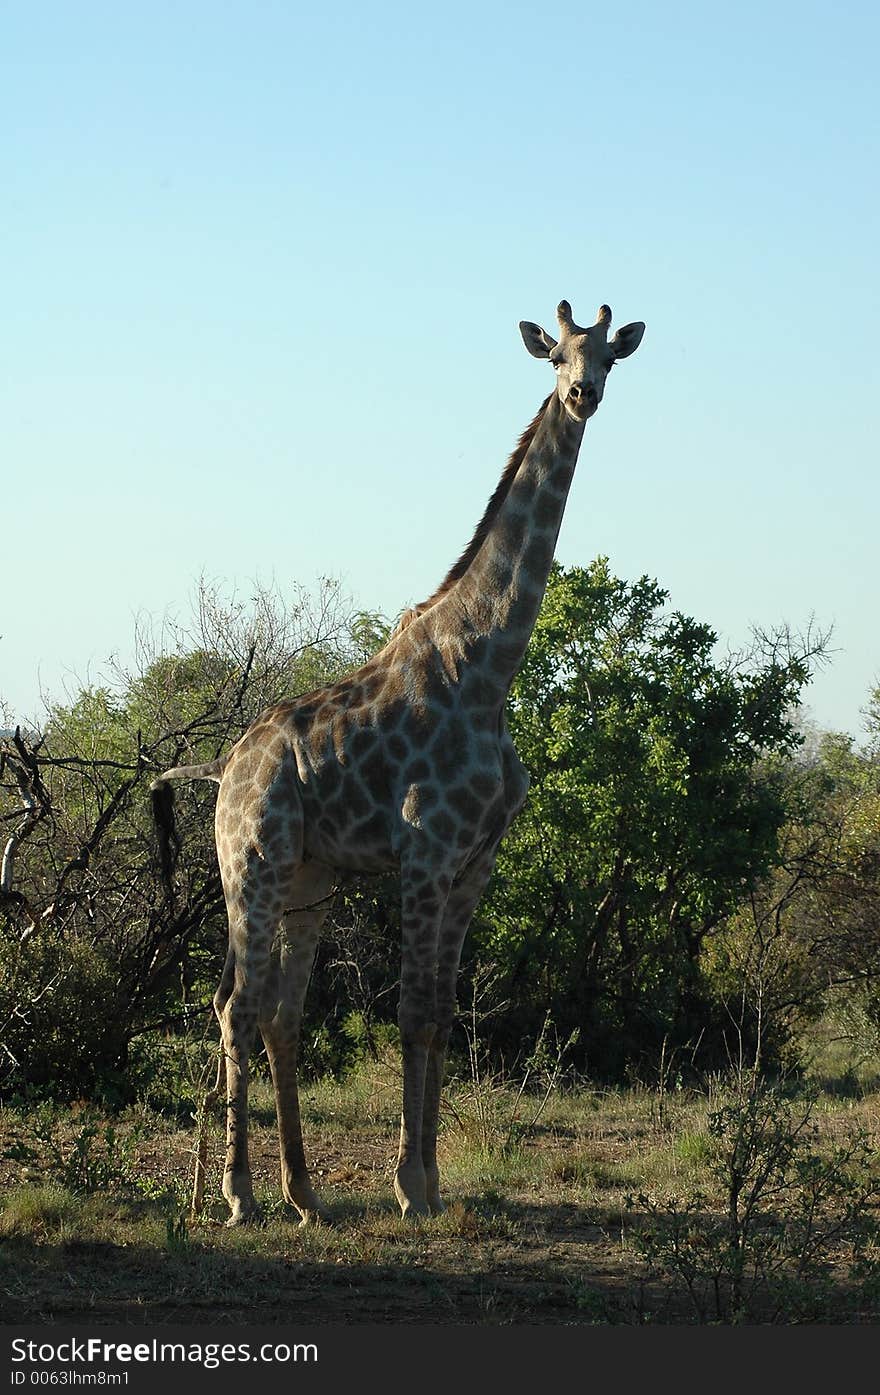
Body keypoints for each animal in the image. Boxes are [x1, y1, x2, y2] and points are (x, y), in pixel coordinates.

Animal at [151, 294, 647, 1222]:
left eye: (610, 358)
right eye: (556, 353)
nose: (583, 395)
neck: (487, 666)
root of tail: (224, 767)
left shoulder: (476, 861)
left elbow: (444, 1013)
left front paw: (436, 1182)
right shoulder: (425, 852)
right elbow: (413, 1012)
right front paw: (411, 1186)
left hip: (308, 880)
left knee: (278, 1011)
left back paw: (303, 1192)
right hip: (250, 862)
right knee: (237, 1005)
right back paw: (238, 1195)